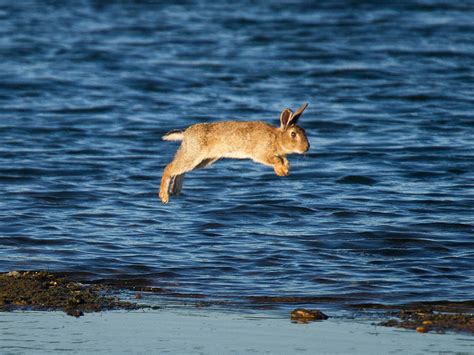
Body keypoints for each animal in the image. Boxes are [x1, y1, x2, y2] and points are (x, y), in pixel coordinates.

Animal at [157, 103, 310, 203]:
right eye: (293, 134)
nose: (307, 148)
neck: (277, 138)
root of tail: (185, 134)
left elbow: (283, 160)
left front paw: (284, 171)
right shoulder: (261, 153)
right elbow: (275, 160)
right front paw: (282, 170)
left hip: (203, 160)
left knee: (180, 170)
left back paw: (175, 191)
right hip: (194, 155)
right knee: (169, 168)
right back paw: (164, 196)